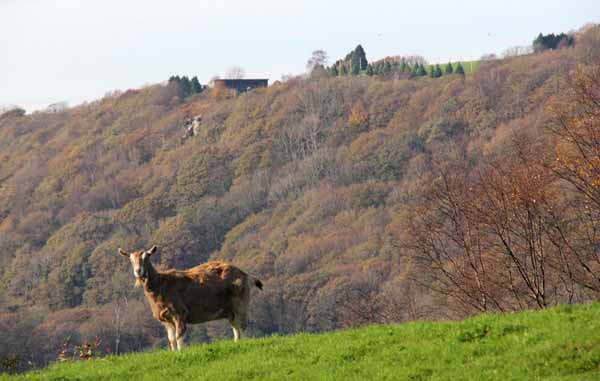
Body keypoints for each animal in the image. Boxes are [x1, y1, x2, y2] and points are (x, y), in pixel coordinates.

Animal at [119, 245, 262, 348]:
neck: (160, 284)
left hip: (240, 303)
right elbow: (171, 339)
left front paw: (181, 352)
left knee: (242, 326)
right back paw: (236, 343)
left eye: (147, 257)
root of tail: (246, 275)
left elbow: (179, 336)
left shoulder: (180, 313)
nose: (138, 271)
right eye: (131, 260)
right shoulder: (166, 319)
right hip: (230, 310)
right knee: (236, 328)